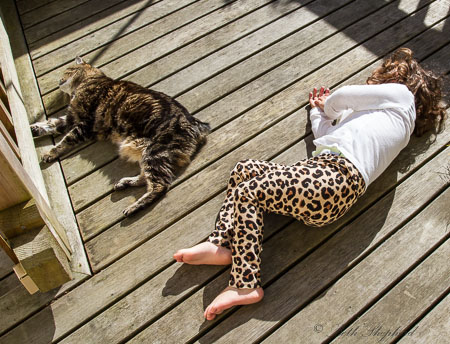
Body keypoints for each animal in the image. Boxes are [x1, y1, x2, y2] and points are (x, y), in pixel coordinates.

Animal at [31, 57, 211, 216]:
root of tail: (197, 123)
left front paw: (50, 153)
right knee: (145, 178)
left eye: (67, 70)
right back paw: (124, 183)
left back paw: (133, 208)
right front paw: (33, 129)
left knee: (160, 185)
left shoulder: (83, 124)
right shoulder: (70, 118)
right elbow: (49, 124)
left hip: (155, 153)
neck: (88, 81)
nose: (58, 81)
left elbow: (64, 139)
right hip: (147, 154)